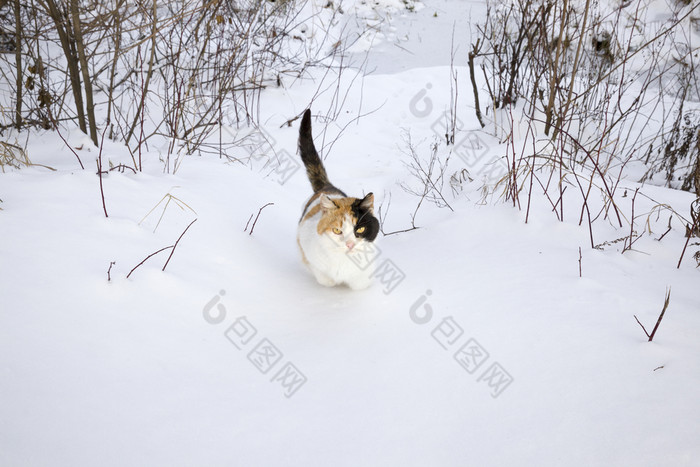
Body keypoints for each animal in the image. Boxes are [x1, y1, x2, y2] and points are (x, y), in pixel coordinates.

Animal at [298, 110, 380, 290]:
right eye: (336, 230)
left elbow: (360, 283)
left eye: (360, 229)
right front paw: (331, 281)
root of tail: (327, 187)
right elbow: (324, 279)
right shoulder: (306, 247)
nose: (349, 244)